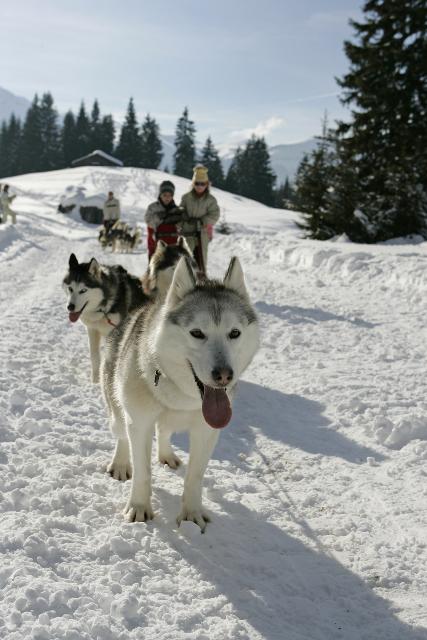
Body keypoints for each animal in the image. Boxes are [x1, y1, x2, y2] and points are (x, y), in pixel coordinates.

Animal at [62, 254, 150, 384]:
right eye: (70, 288)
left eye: (83, 290)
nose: (70, 307)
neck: (102, 308)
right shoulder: (92, 329)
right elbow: (94, 355)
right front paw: (95, 380)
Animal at [102, 255, 260, 528]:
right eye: (197, 333)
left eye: (234, 333)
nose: (224, 375)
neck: (182, 397)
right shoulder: (139, 424)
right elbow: (143, 472)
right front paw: (139, 507)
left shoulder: (207, 432)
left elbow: (195, 477)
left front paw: (191, 515)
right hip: (118, 412)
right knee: (121, 435)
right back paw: (121, 463)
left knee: (164, 431)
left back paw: (167, 455)